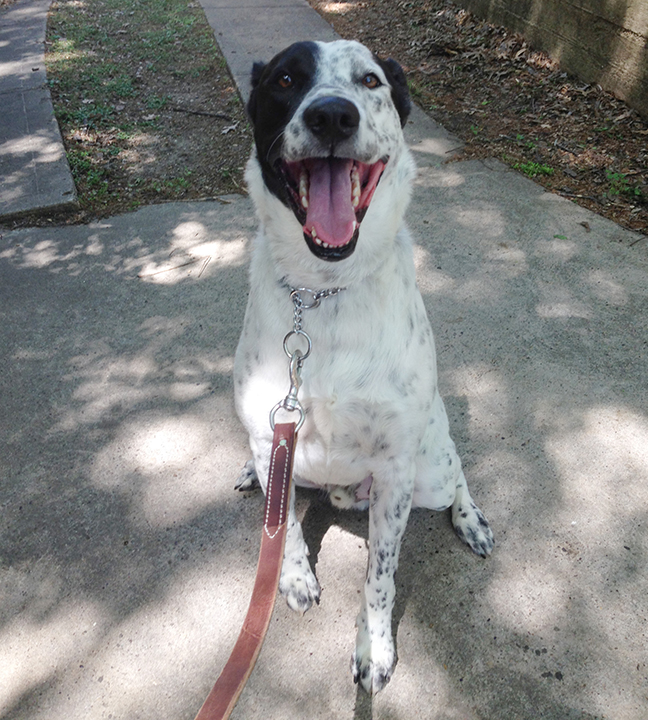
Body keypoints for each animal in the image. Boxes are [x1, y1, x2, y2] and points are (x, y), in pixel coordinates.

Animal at [232, 38, 492, 692]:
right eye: (286, 79)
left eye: (370, 80)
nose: (331, 116)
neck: (323, 292)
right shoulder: (275, 440)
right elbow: (284, 531)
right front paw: (295, 578)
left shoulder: (397, 472)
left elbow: (380, 574)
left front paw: (374, 646)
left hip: (429, 471)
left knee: (456, 472)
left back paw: (470, 518)